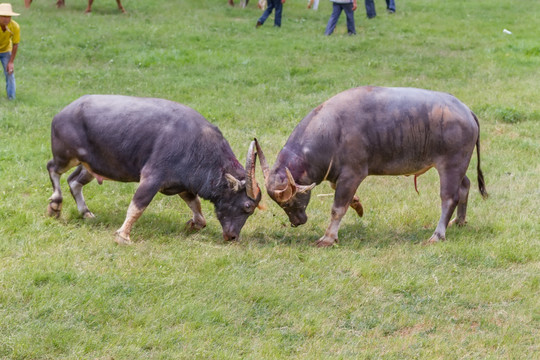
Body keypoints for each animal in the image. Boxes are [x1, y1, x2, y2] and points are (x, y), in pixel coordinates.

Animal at [47, 94, 262, 243]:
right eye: (247, 206)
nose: (233, 236)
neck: (197, 146)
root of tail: (61, 114)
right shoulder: (152, 178)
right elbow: (138, 206)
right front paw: (123, 236)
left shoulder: (183, 185)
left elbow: (197, 208)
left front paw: (192, 224)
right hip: (66, 156)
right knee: (52, 168)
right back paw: (55, 205)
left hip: (91, 166)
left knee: (73, 181)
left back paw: (85, 212)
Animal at [255, 86, 488, 246]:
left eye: (289, 202)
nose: (297, 221)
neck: (332, 133)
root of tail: (466, 110)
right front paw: (357, 204)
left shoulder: (353, 174)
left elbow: (337, 208)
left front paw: (328, 238)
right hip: (459, 166)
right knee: (465, 186)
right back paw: (459, 221)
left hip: (451, 164)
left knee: (449, 198)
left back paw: (437, 234)